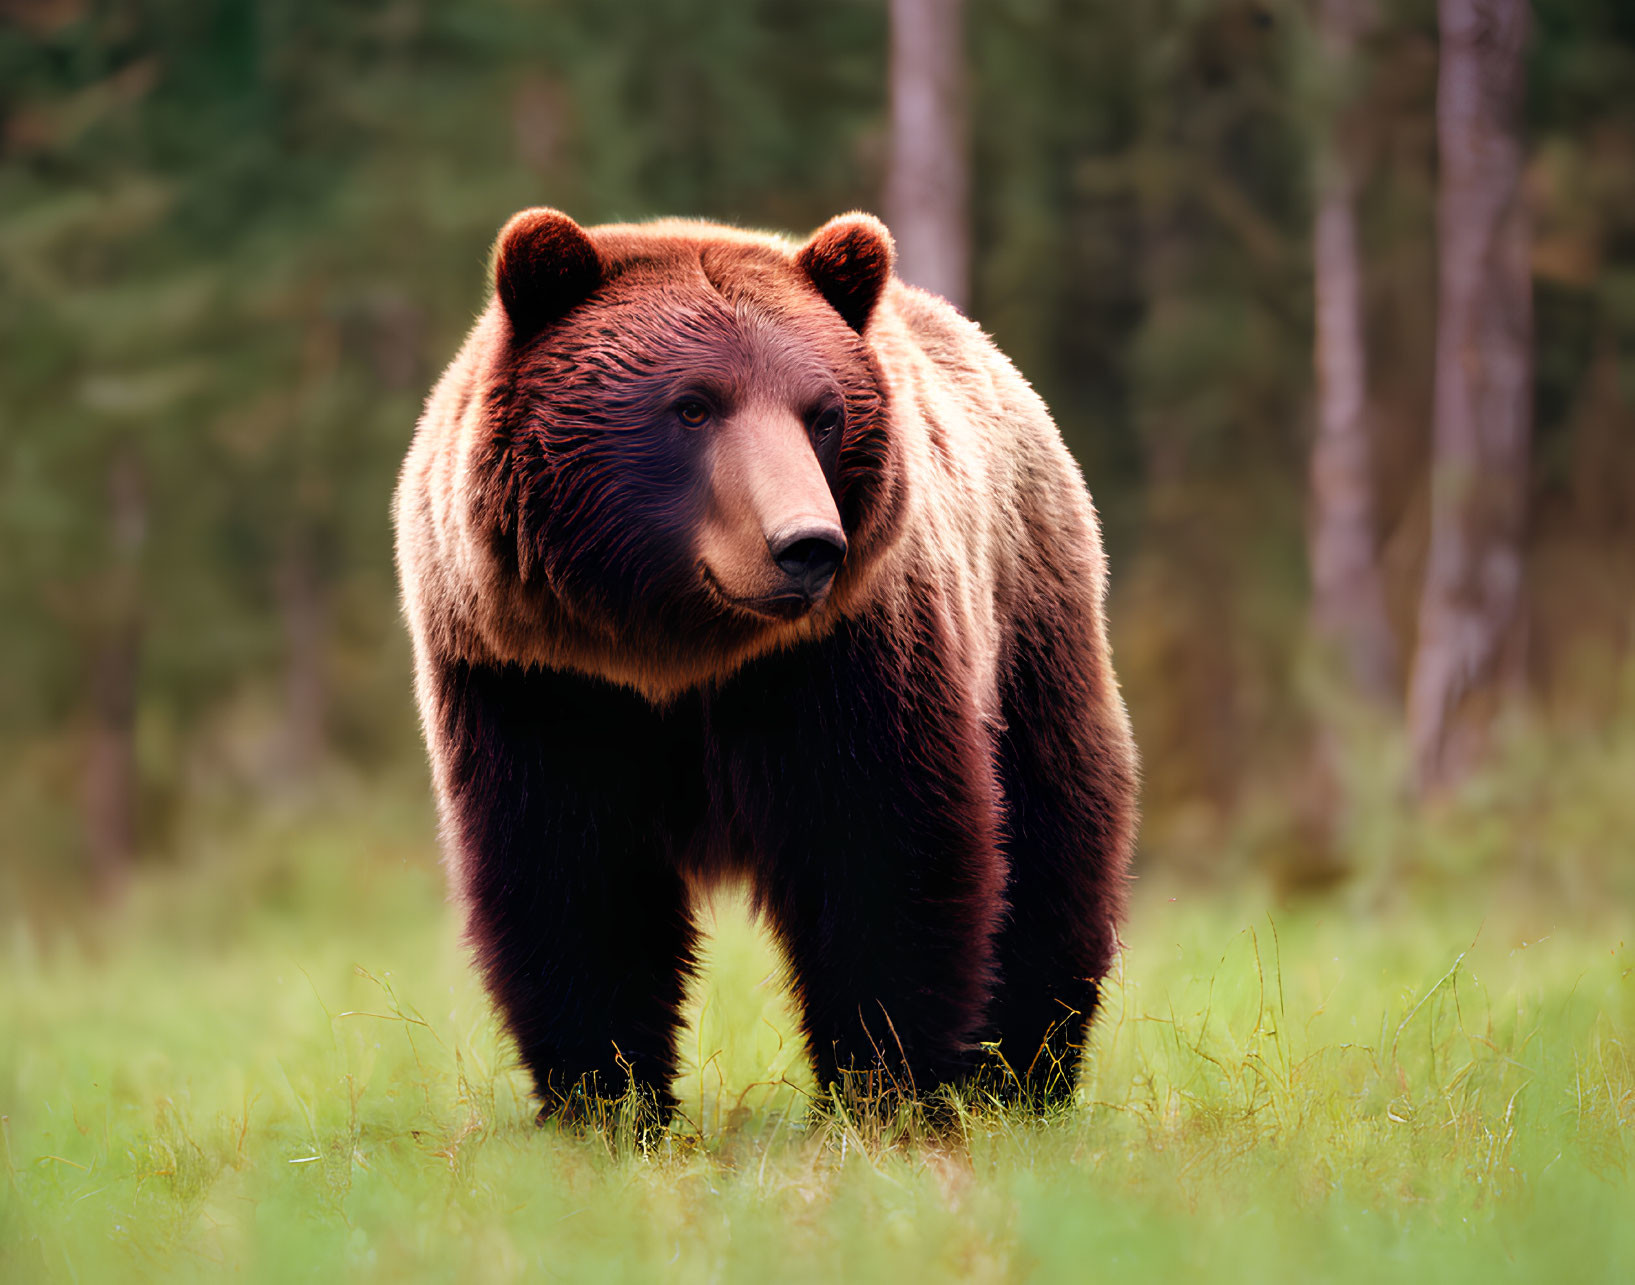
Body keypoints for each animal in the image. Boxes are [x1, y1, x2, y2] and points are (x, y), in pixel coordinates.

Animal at [395, 205, 1137, 1118]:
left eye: (822, 412)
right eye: (691, 406)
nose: (806, 545)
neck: (674, 646)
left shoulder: (842, 659)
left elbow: (881, 849)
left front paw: (885, 1083)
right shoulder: (543, 680)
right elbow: (572, 880)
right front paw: (608, 1096)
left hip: (1027, 618)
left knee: (1051, 836)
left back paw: (1024, 1073)